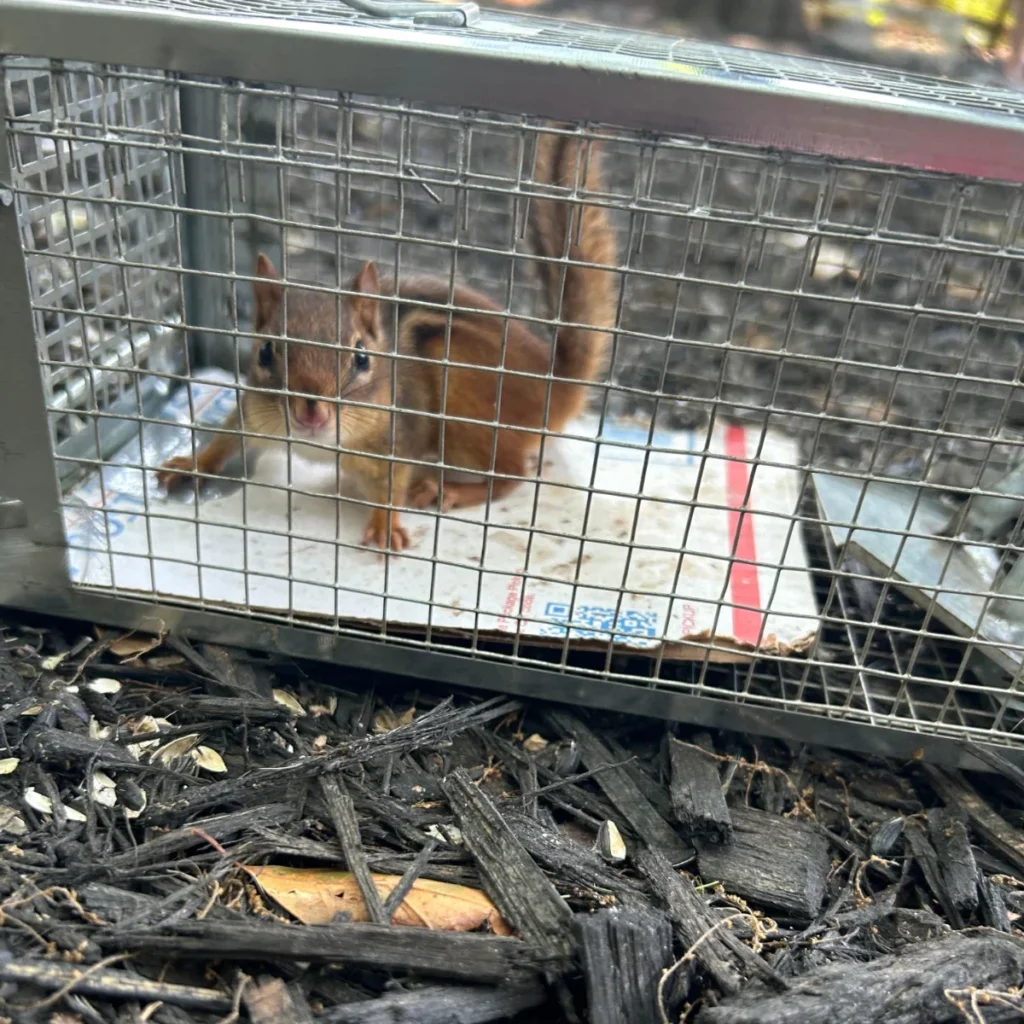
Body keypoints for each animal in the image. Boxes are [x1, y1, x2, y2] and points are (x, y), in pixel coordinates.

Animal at [157, 126, 618, 551]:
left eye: (361, 358)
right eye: (267, 352)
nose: (312, 414)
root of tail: (555, 383)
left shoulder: (400, 437)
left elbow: (393, 485)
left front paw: (385, 525)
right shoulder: (255, 410)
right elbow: (226, 435)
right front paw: (190, 462)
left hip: (466, 402)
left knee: (512, 473)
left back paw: (446, 489)